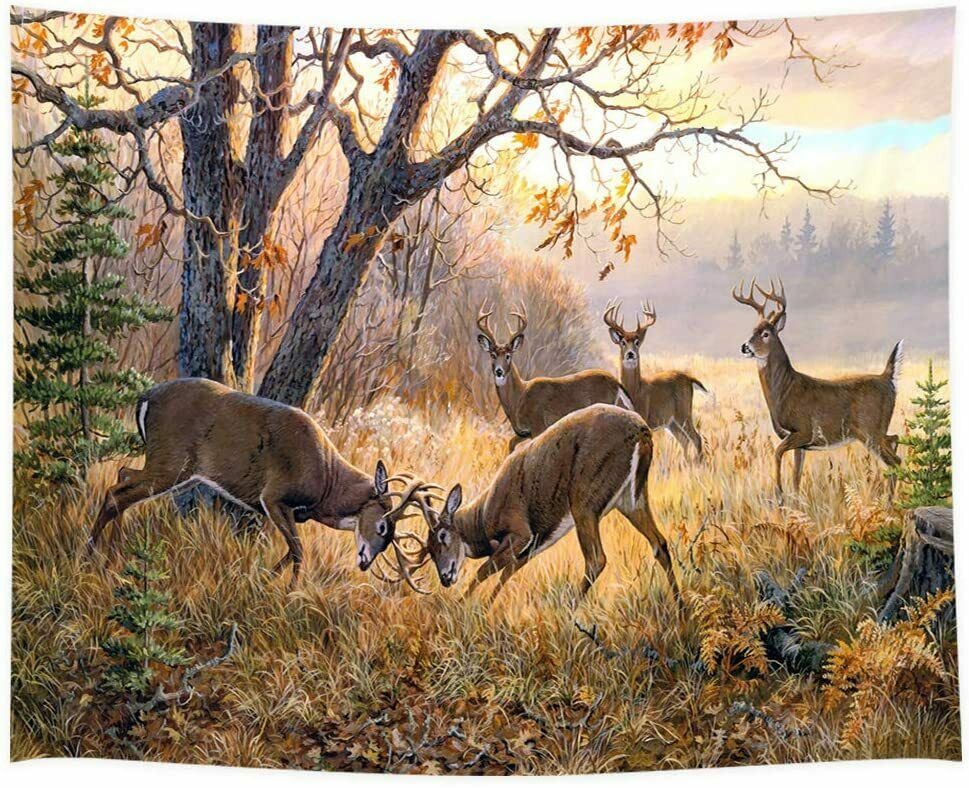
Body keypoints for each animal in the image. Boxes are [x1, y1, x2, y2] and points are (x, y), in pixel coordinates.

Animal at [89, 378, 435, 588]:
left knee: (123, 476)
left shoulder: (292, 512)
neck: (327, 485)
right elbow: (298, 550)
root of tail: (145, 397)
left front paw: (266, 580)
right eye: (382, 527)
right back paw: (94, 554)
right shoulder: (274, 496)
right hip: (171, 461)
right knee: (117, 493)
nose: (364, 563)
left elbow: (290, 551)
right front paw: (291, 591)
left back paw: (112, 555)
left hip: (170, 467)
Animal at [410, 403, 679, 603]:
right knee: (660, 544)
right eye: (428, 549)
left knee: (597, 559)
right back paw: (680, 608)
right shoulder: (535, 542)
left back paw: (570, 610)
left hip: (584, 500)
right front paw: (485, 606)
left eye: (442, 536)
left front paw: (462, 606)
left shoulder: (520, 531)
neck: (483, 517)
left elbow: (484, 571)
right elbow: (506, 573)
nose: (445, 577)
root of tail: (642, 431)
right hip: (632, 499)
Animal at [476, 303, 632, 451]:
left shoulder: (538, 424)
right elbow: (511, 444)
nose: (499, 371)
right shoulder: (524, 433)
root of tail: (616, 382)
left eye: (508, 356)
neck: (518, 398)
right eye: (492, 355)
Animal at [603, 301, 710, 461]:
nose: (630, 354)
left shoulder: (645, 419)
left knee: (696, 438)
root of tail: (689, 379)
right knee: (684, 440)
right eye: (622, 342)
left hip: (684, 412)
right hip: (671, 422)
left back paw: (699, 463)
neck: (635, 391)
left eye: (637, 342)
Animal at [731, 279, 903, 501]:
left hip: (869, 429)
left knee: (896, 460)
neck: (785, 389)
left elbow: (777, 453)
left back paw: (889, 503)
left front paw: (779, 494)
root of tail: (887, 378)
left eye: (765, 334)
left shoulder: (803, 430)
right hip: (877, 430)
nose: (744, 347)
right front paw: (794, 502)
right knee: (895, 440)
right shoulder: (799, 443)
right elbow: (796, 476)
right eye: (752, 330)